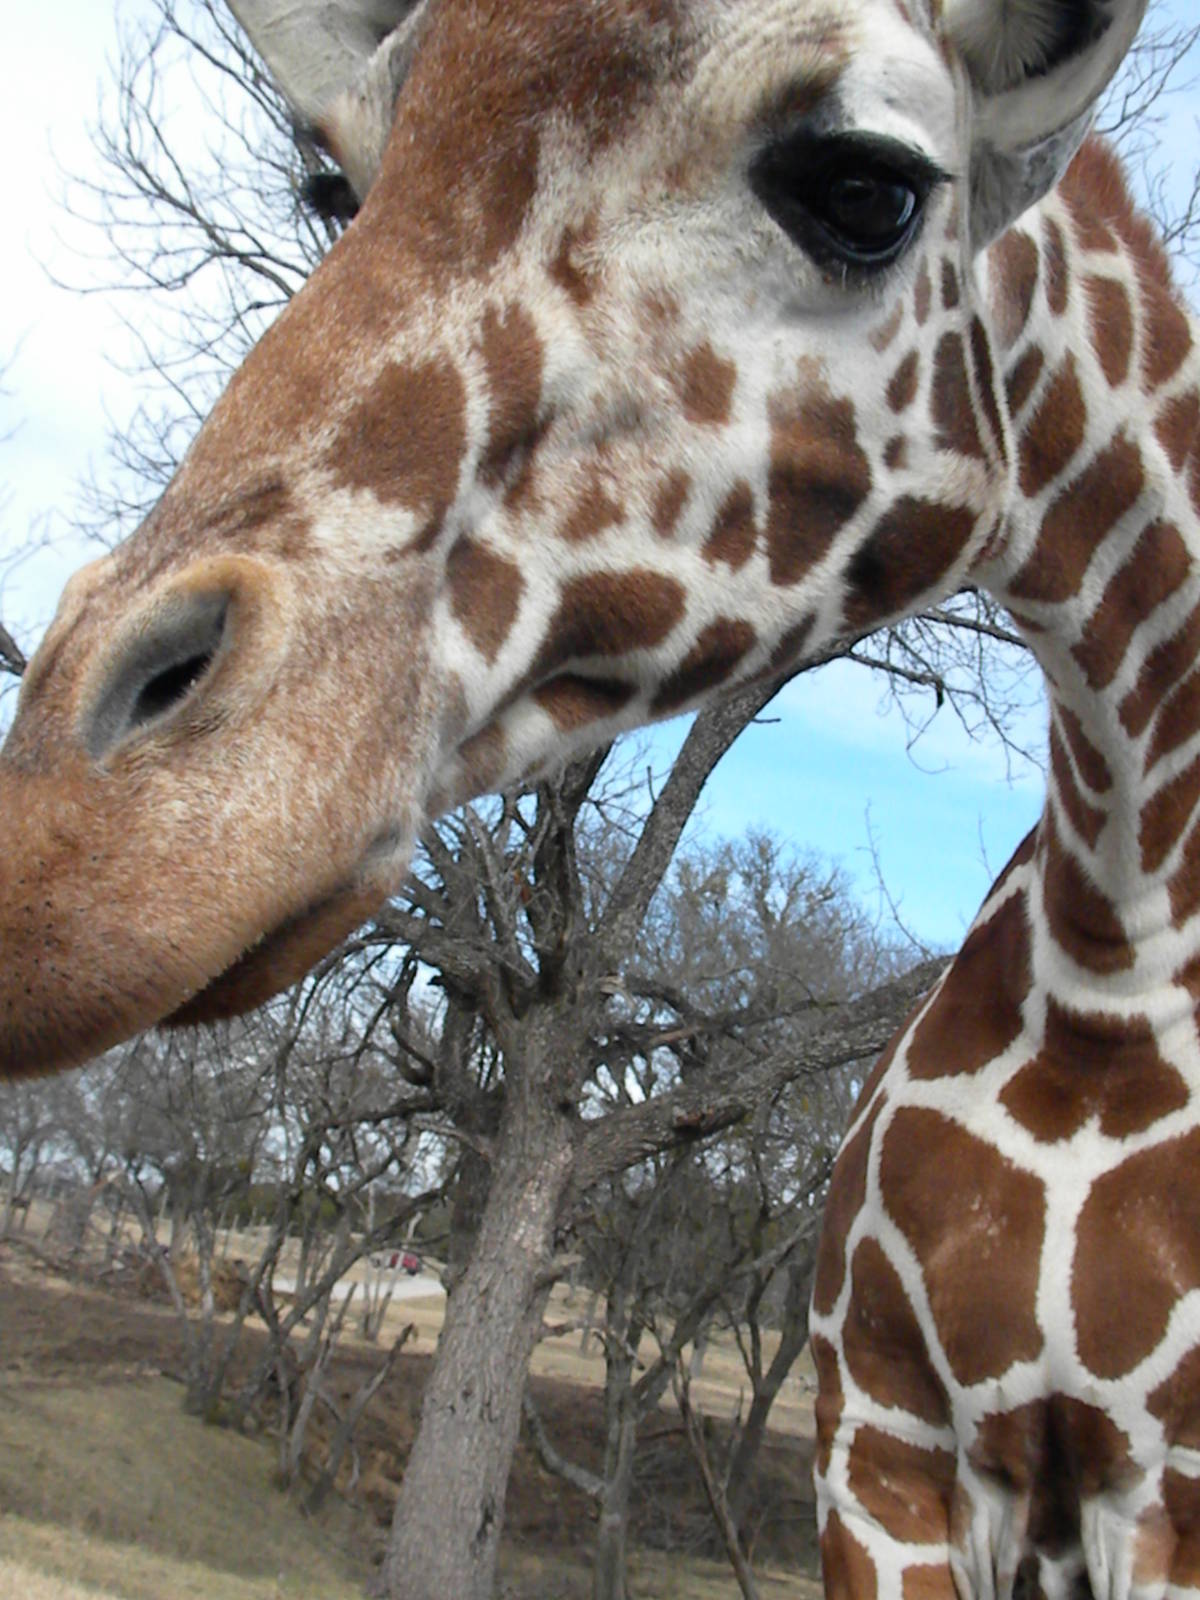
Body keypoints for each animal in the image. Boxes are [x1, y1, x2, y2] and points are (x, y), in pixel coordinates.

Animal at [0, 0, 1195, 1590]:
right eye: (334, 189)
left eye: (866, 186)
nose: (66, 860)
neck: (1113, 963)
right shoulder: (878, 1447)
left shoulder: (1160, 1497)